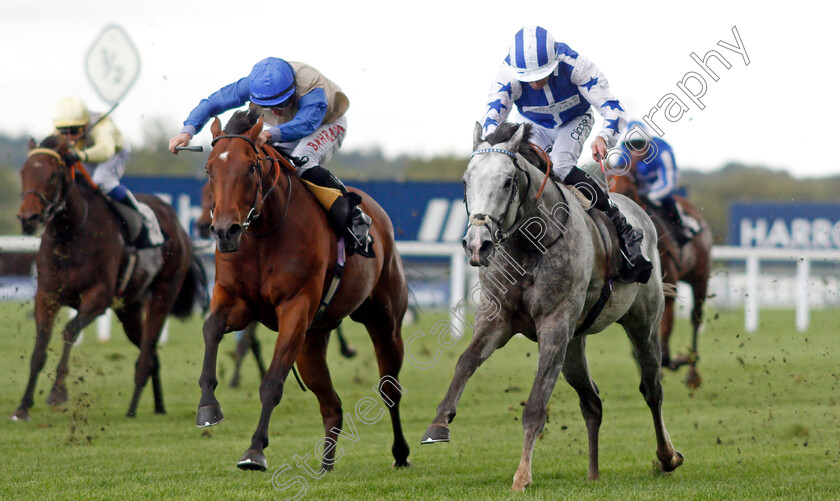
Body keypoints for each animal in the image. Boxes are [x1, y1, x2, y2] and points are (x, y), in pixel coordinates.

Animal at [13, 135, 207, 420]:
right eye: (24, 173)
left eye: (51, 176)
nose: (28, 218)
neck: (72, 233)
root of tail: (179, 227)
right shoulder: (47, 296)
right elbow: (39, 348)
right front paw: (23, 406)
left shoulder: (98, 297)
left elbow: (70, 331)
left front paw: (57, 392)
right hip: (129, 310)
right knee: (152, 355)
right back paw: (158, 407)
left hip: (162, 296)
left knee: (147, 352)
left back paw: (132, 410)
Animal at [197, 107, 406, 470]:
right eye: (210, 169)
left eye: (250, 167)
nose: (225, 231)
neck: (263, 235)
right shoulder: (236, 301)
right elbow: (211, 329)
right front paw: (208, 406)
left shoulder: (295, 309)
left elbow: (272, 382)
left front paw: (255, 450)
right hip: (312, 342)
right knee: (332, 405)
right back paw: (325, 465)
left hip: (385, 322)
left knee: (389, 389)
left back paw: (401, 453)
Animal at [420, 122, 684, 492]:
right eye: (465, 181)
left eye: (508, 181)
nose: (477, 244)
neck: (528, 244)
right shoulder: (497, 319)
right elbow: (465, 361)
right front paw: (438, 424)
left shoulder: (554, 327)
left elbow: (535, 406)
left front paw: (522, 475)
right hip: (574, 344)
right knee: (592, 402)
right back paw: (593, 473)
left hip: (642, 324)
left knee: (652, 390)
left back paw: (667, 456)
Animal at [608, 158, 712, 384]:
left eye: (629, 189)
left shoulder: (668, 284)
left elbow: (665, 332)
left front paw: (673, 361)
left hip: (700, 276)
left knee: (696, 318)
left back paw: (692, 370)